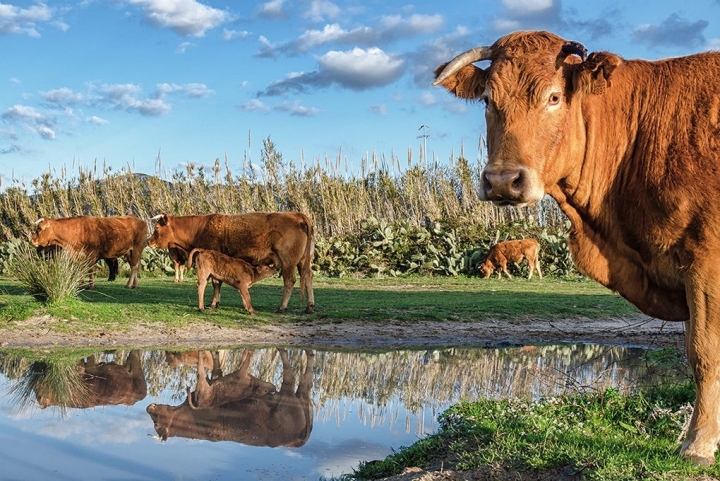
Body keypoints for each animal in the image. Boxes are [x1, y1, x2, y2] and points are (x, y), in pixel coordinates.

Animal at [147, 349, 314, 448]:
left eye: (156, 424)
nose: (149, 407)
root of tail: (299, 440)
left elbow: (203, 369)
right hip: (300, 396)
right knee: (305, 379)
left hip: (288, 394)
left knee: (290, 371)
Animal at [148, 212, 315, 313]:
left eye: (156, 228)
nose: (148, 241)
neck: (200, 228)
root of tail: (297, 215)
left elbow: (216, 282)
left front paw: (213, 303)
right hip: (304, 260)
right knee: (308, 276)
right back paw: (309, 306)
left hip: (288, 261)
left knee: (290, 280)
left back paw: (282, 307)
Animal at [433, 30, 720, 465]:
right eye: (486, 100)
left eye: (554, 97)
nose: (502, 181)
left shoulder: (704, 262)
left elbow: (704, 352)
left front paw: (698, 444)